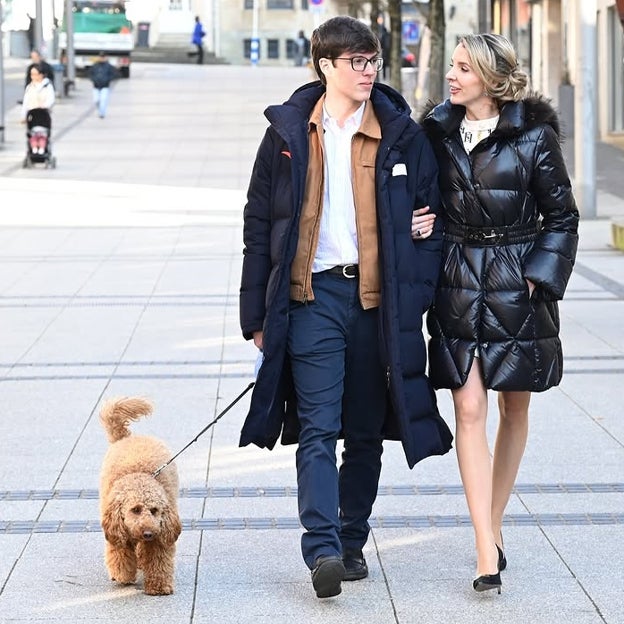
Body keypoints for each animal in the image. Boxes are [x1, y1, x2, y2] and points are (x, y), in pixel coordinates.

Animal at [97, 398, 180, 596]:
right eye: (135, 509)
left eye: (155, 510)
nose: (148, 533)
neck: (138, 475)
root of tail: (128, 438)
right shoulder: (115, 528)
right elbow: (120, 555)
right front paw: (123, 574)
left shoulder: (161, 533)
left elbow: (159, 560)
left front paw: (158, 586)